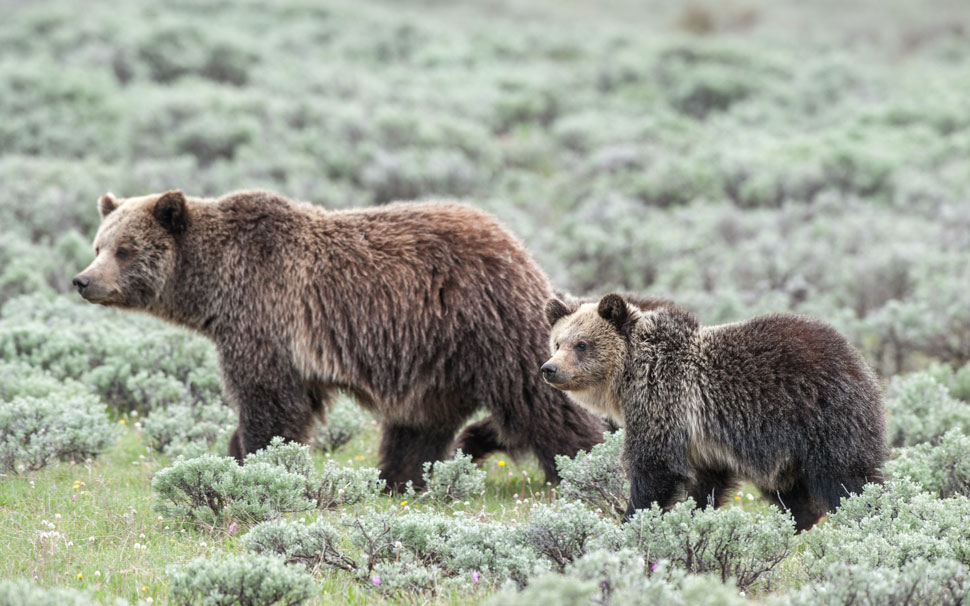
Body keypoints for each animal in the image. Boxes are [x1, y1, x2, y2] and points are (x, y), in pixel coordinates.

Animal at [72, 189, 607, 489]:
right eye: (98, 244)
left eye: (125, 249)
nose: (83, 279)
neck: (214, 289)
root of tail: (515, 245)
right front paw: (237, 456)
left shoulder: (265, 318)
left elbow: (267, 401)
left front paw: (254, 461)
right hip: (435, 356)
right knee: (420, 423)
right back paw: (400, 478)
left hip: (485, 321)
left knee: (536, 397)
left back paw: (583, 467)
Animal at [540, 293, 887, 531]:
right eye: (557, 342)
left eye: (582, 344)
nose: (549, 369)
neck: (630, 375)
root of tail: (858, 359)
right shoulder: (704, 444)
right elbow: (705, 485)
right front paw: (694, 518)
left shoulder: (662, 404)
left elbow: (655, 468)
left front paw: (631, 522)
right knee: (791, 491)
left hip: (822, 419)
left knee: (846, 477)